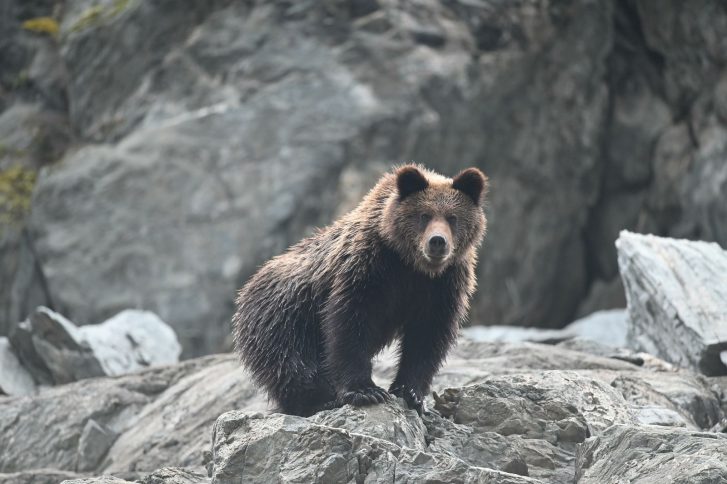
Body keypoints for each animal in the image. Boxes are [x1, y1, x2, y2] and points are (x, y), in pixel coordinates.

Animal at [232, 164, 488, 416]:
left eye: (452, 217)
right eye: (424, 215)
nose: (437, 242)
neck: (411, 265)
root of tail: (247, 287)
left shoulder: (442, 287)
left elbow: (427, 337)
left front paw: (411, 394)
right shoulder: (368, 270)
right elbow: (351, 325)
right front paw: (366, 391)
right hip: (284, 316)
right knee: (292, 361)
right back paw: (319, 400)